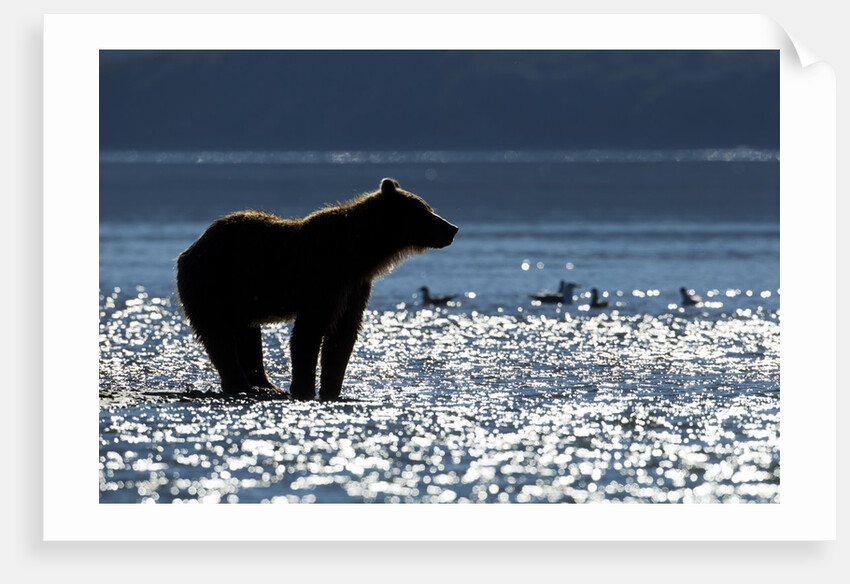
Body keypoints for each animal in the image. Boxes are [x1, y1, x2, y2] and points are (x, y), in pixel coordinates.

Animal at [176, 178, 458, 401]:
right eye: (425, 210)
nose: (452, 228)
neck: (361, 252)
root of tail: (192, 246)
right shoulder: (324, 278)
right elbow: (309, 331)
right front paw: (304, 388)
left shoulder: (355, 287)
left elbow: (343, 335)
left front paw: (333, 389)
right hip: (213, 281)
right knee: (219, 334)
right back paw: (242, 385)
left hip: (240, 297)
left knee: (247, 335)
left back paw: (265, 385)